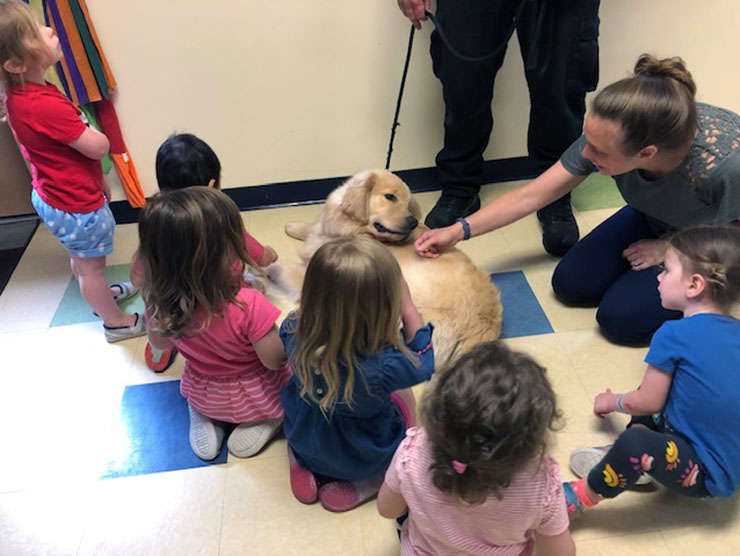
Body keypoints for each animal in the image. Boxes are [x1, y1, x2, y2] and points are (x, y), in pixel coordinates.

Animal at [272, 169, 502, 370]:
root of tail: (482, 327)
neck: (359, 232)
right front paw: (293, 227)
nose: (413, 221)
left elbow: (285, 266)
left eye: (408, 203)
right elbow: (312, 229)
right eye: (390, 197)